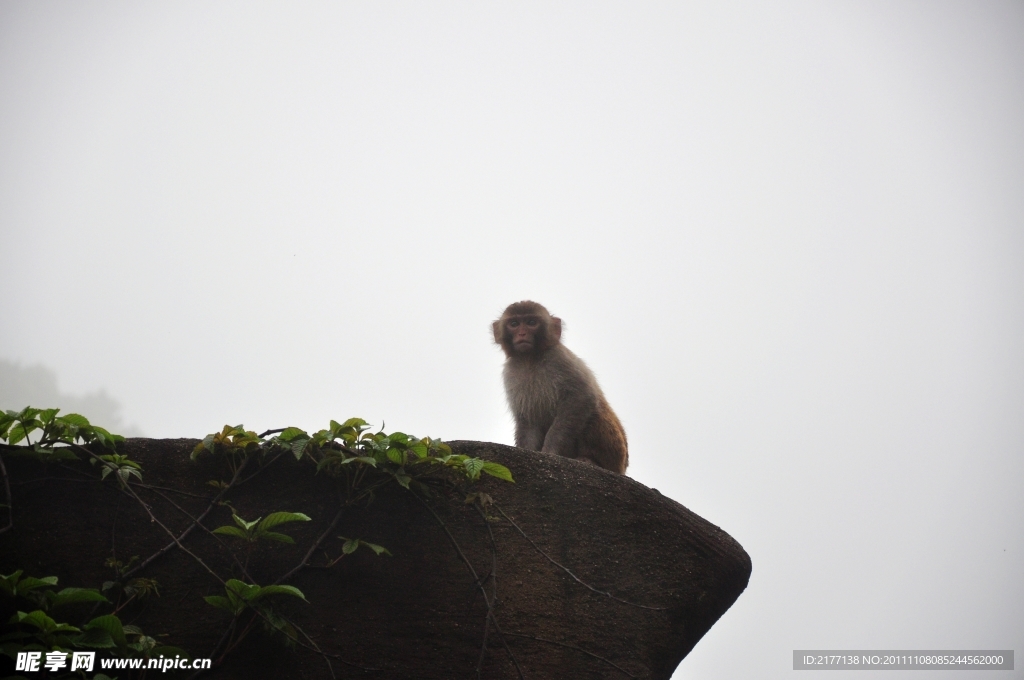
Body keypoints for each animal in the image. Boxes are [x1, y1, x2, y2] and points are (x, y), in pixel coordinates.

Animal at [493, 301, 626, 475]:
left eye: (531, 322)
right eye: (514, 324)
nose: (522, 333)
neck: (530, 359)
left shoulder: (560, 359)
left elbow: (581, 398)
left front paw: (550, 452)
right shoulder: (511, 373)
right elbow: (527, 418)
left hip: (615, 453)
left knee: (593, 413)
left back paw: (590, 460)